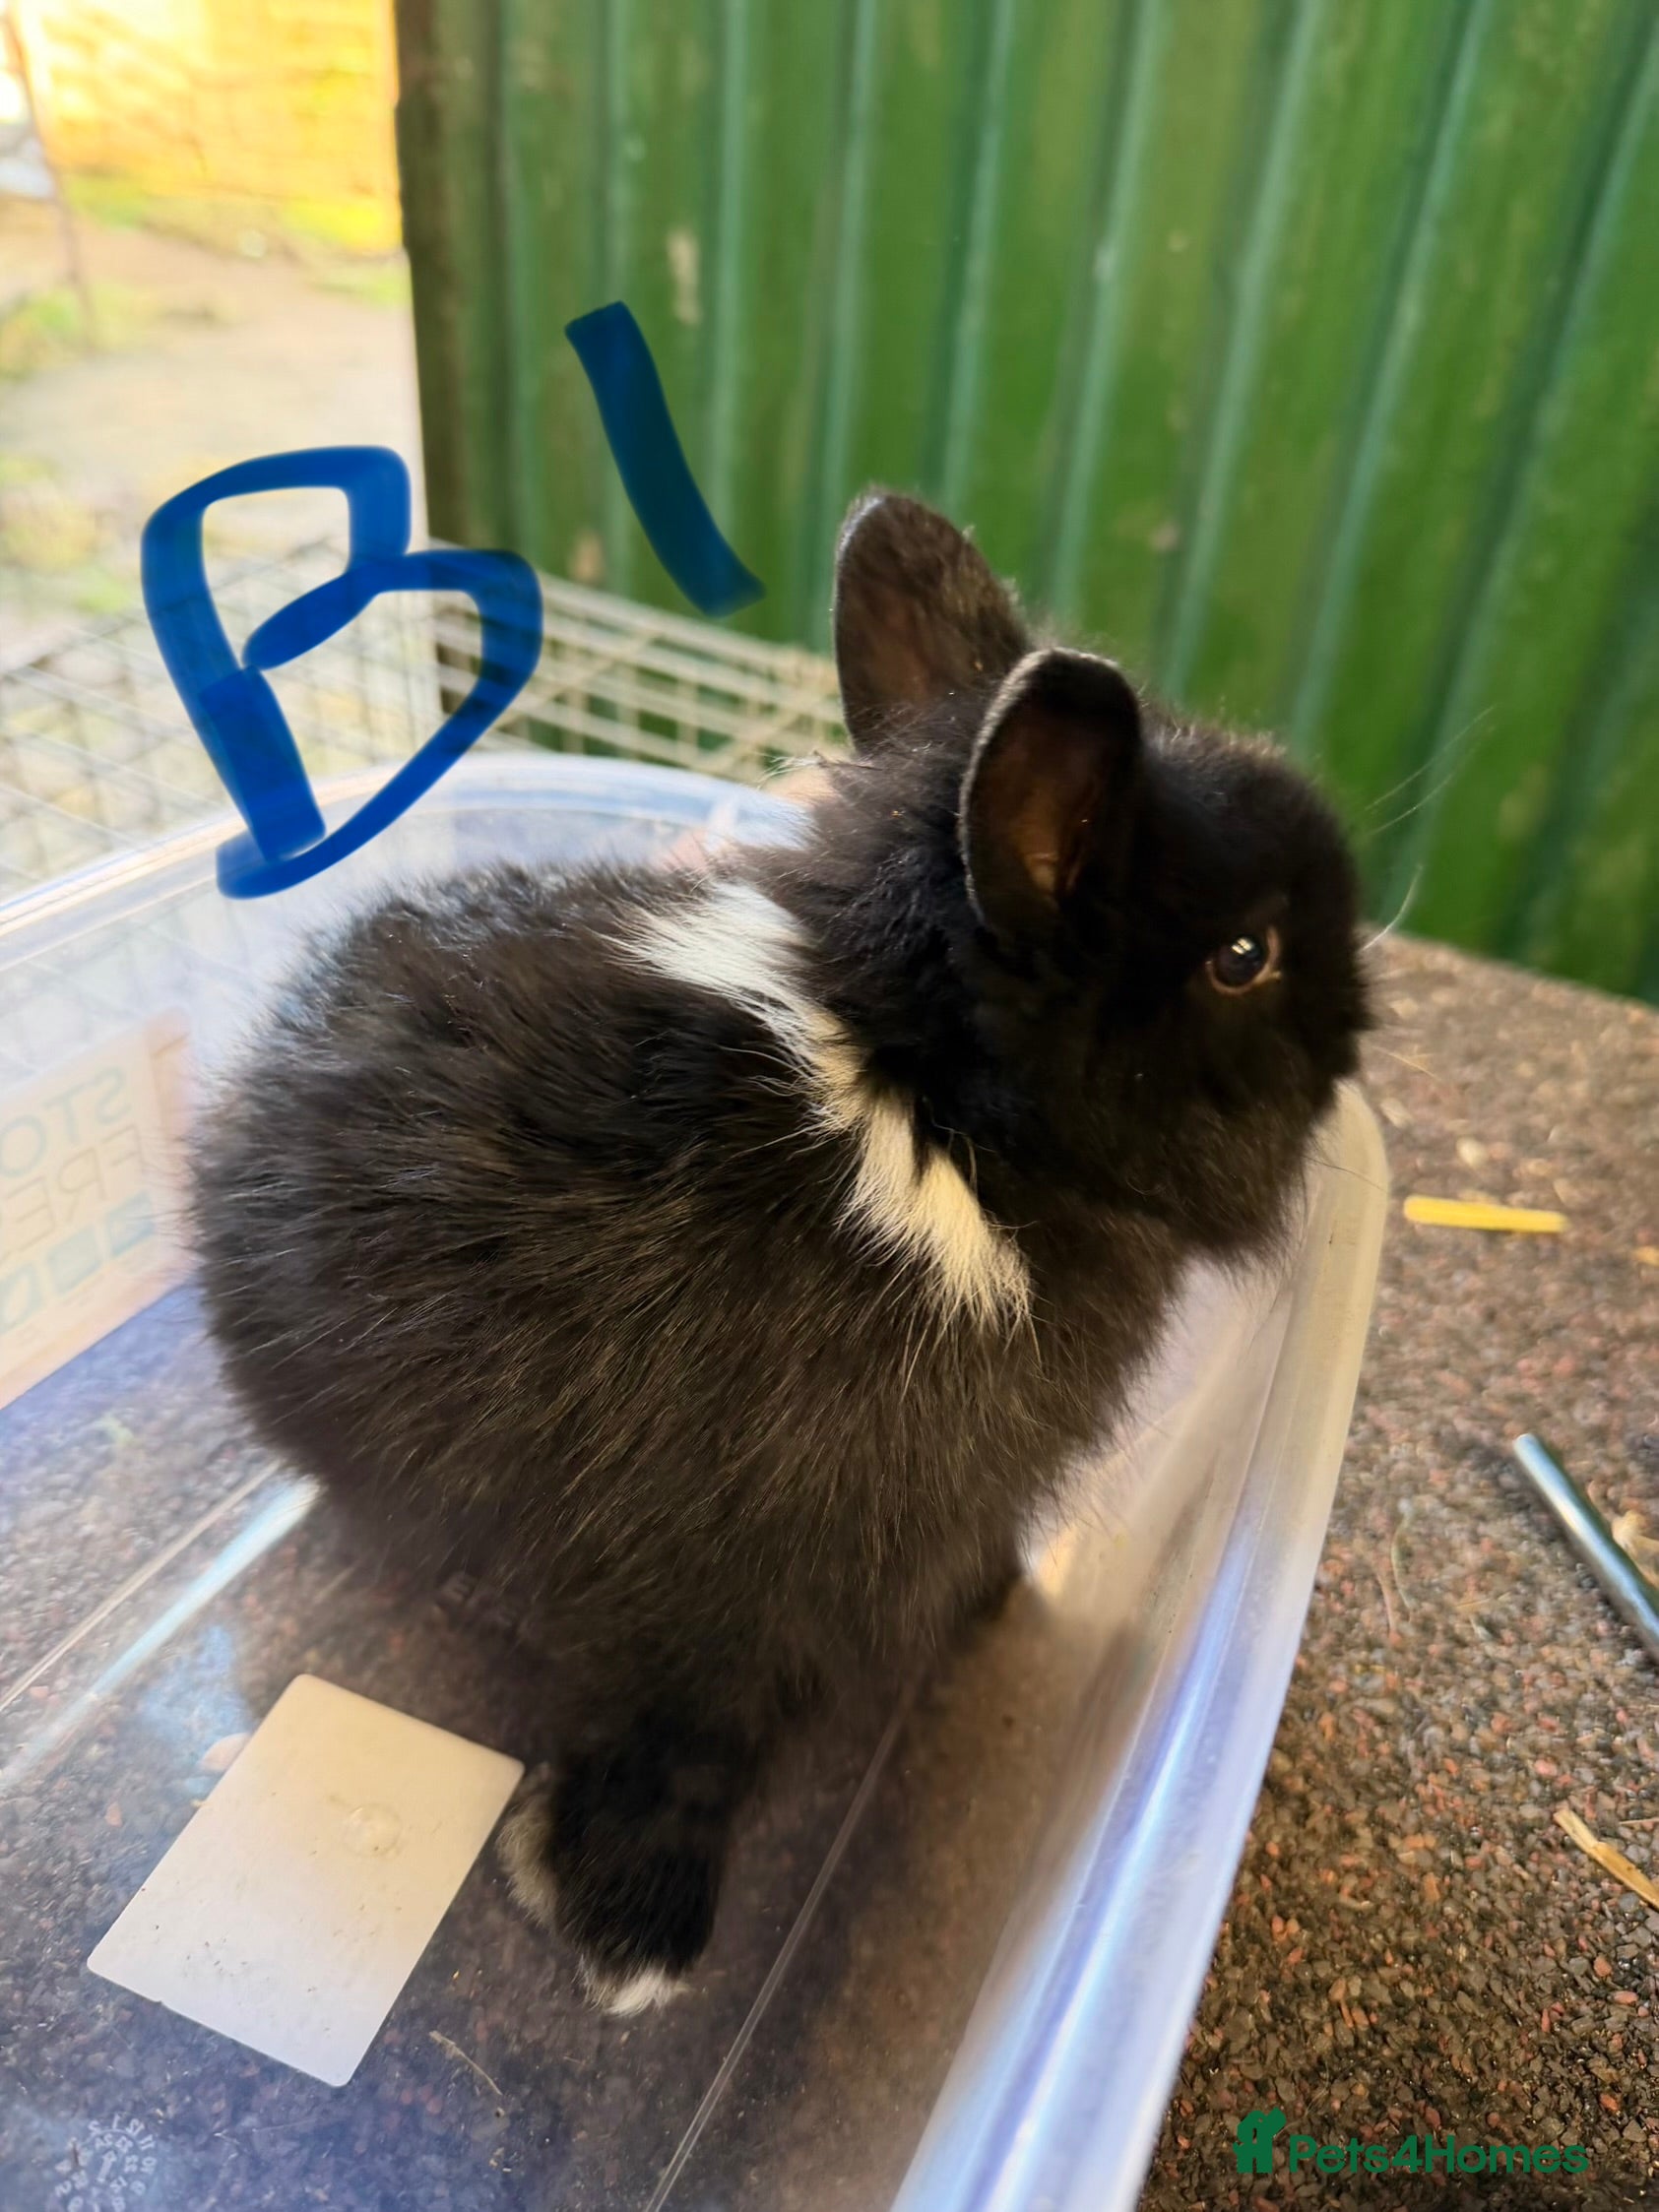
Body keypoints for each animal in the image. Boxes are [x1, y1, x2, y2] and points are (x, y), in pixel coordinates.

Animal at [190, 490, 1370, 2013]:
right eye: (1242, 956)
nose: (1361, 1029)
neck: (942, 1112)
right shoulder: (764, 1576)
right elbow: (695, 1736)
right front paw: (623, 1938)